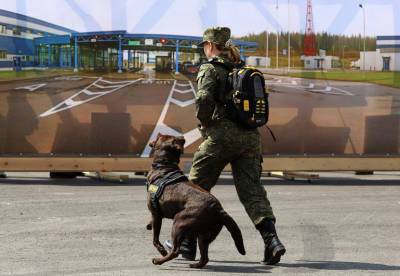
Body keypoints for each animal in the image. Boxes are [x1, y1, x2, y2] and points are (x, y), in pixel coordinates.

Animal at [146, 134, 245, 268]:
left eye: (160, 136)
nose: (182, 137)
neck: (164, 165)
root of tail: (219, 210)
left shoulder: (156, 214)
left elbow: (155, 240)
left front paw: (162, 250)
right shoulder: (156, 214)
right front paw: (149, 225)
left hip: (179, 222)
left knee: (175, 251)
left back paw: (159, 260)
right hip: (204, 236)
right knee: (205, 258)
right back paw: (196, 265)